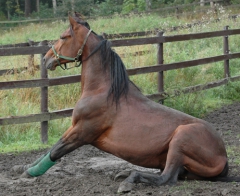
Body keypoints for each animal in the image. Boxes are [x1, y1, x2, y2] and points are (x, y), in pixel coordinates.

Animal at [12, 13, 240, 193]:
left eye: (64, 37)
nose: (46, 59)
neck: (101, 91)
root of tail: (224, 157)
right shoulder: (75, 128)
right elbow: (49, 150)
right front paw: (21, 168)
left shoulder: (82, 132)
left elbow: (56, 150)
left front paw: (29, 172)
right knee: (171, 175)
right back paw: (123, 173)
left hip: (180, 139)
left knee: (166, 178)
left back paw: (129, 179)